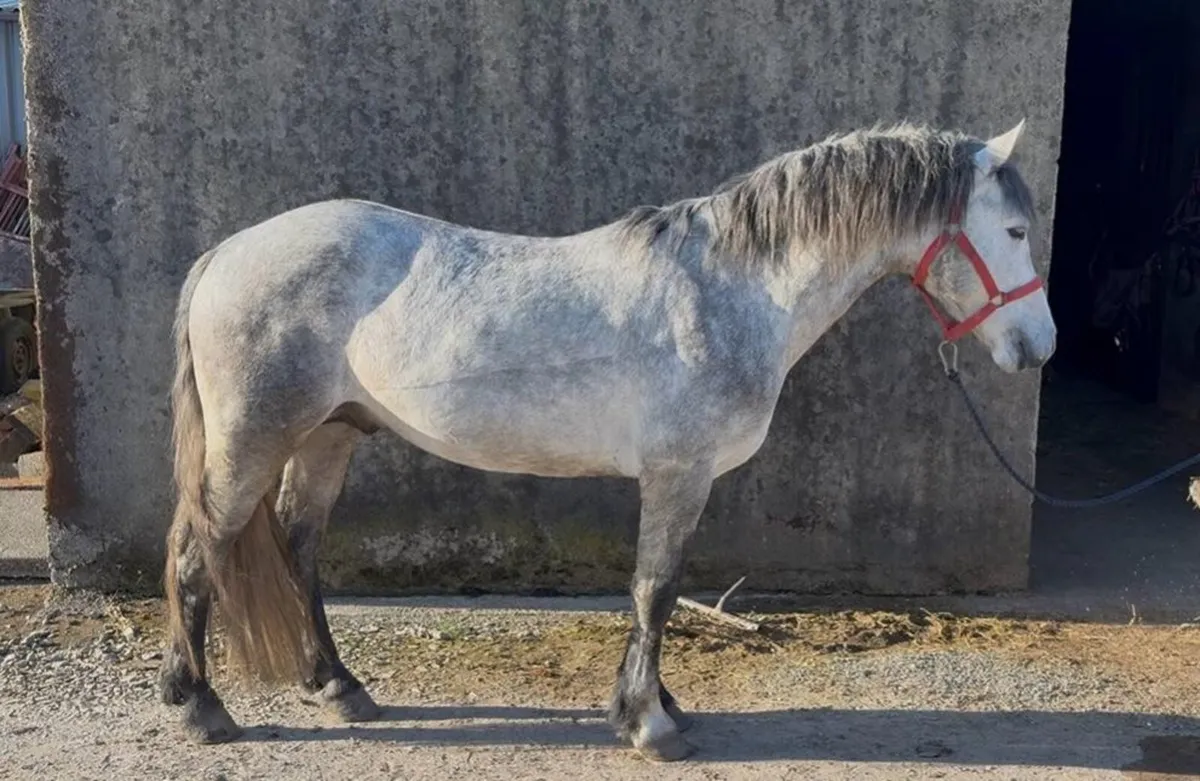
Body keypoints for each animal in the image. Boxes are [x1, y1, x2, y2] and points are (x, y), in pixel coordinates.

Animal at [158, 120, 1055, 761]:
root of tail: (226, 253)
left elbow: (653, 592)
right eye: (1014, 231)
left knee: (299, 549)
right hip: (250, 441)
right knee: (197, 553)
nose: (1039, 347)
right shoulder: (678, 474)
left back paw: (337, 686)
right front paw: (649, 723)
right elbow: (655, 589)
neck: (735, 288)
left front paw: (655, 704)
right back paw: (199, 704)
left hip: (327, 438)